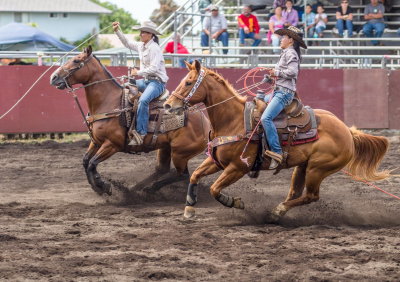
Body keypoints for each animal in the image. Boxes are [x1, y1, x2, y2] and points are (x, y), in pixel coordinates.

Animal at [50, 46, 209, 196]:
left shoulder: (111, 145)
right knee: (163, 170)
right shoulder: (96, 141)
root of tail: (206, 122)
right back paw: (136, 189)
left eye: (76, 60)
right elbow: (85, 161)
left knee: (183, 175)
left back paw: (148, 189)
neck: (109, 101)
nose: (53, 77)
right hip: (166, 147)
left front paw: (103, 186)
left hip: (180, 153)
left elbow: (92, 164)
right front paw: (98, 186)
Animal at [164, 61, 390, 223]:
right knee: (295, 193)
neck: (233, 121)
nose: (167, 105)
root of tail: (348, 132)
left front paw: (235, 202)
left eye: (188, 82)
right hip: (303, 167)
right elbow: (195, 175)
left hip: (318, 169)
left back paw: (276, 211)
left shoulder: (238, 167)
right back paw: (278, 212)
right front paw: (189, 209)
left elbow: (214, 189)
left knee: (311, 196)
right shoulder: (216, 162)